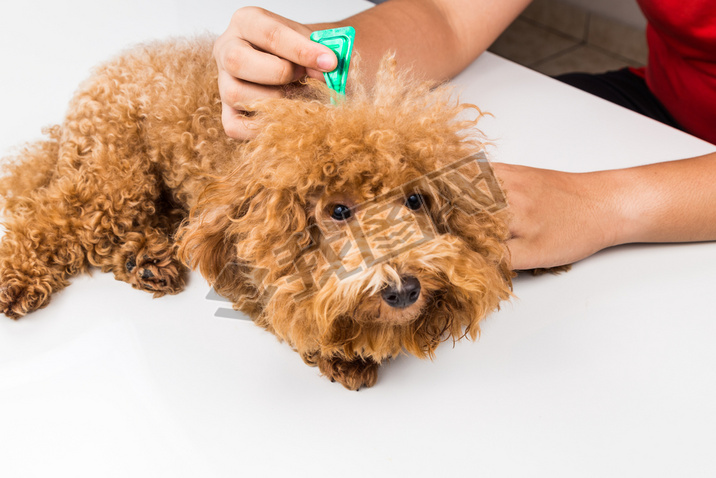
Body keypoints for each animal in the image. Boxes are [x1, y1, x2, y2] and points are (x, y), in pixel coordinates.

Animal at [0, 36, 516, 388]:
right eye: (338, 210)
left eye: (415, 200)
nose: (405, 289)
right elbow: (288, 309)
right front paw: (342, 351)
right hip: (113, 172)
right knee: (58, 217)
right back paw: (18, 277)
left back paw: (145, 260)